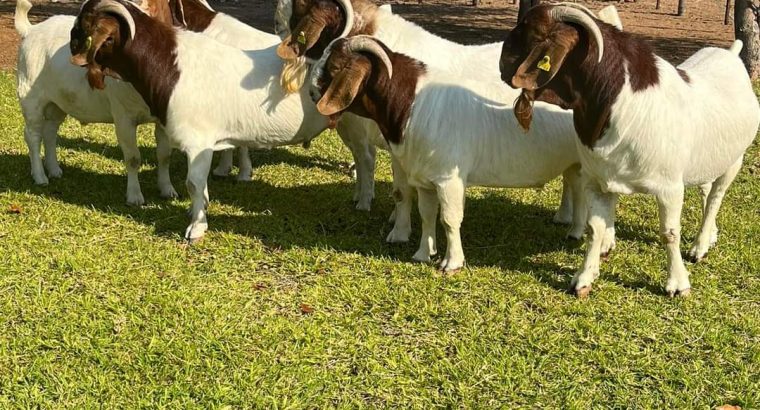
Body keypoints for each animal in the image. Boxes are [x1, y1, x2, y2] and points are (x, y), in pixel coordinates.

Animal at [70, 0, 328, 241]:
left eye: (83, 24)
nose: (71, 44)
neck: (170, 66)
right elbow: (199, 184)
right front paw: (200, 209)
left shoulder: (198, 141)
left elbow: (193, 183)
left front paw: (196, 228)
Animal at [309, 36, 589, 272]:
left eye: (334, 68)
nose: (311, 92)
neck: (413, 103)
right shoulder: (425, 179)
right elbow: (427, 215)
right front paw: (423, 253)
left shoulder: (449, 179)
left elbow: (450, 219)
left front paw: (452, 263)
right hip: (576, 164)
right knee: (576, 188)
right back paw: (575, 230)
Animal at [499, 4, 760, 296]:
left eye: (532, 32)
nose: (502, 68)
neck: (620, 103)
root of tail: (731, 54)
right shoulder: (597, 180)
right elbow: (594, 228)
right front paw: (584, 278)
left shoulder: (670, 187)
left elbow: (670, 233)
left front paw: (678, 283)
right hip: (706, 159)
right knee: (706, 190)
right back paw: (710, 235)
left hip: (735, 160)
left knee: (716, 196)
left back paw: (700, 245)